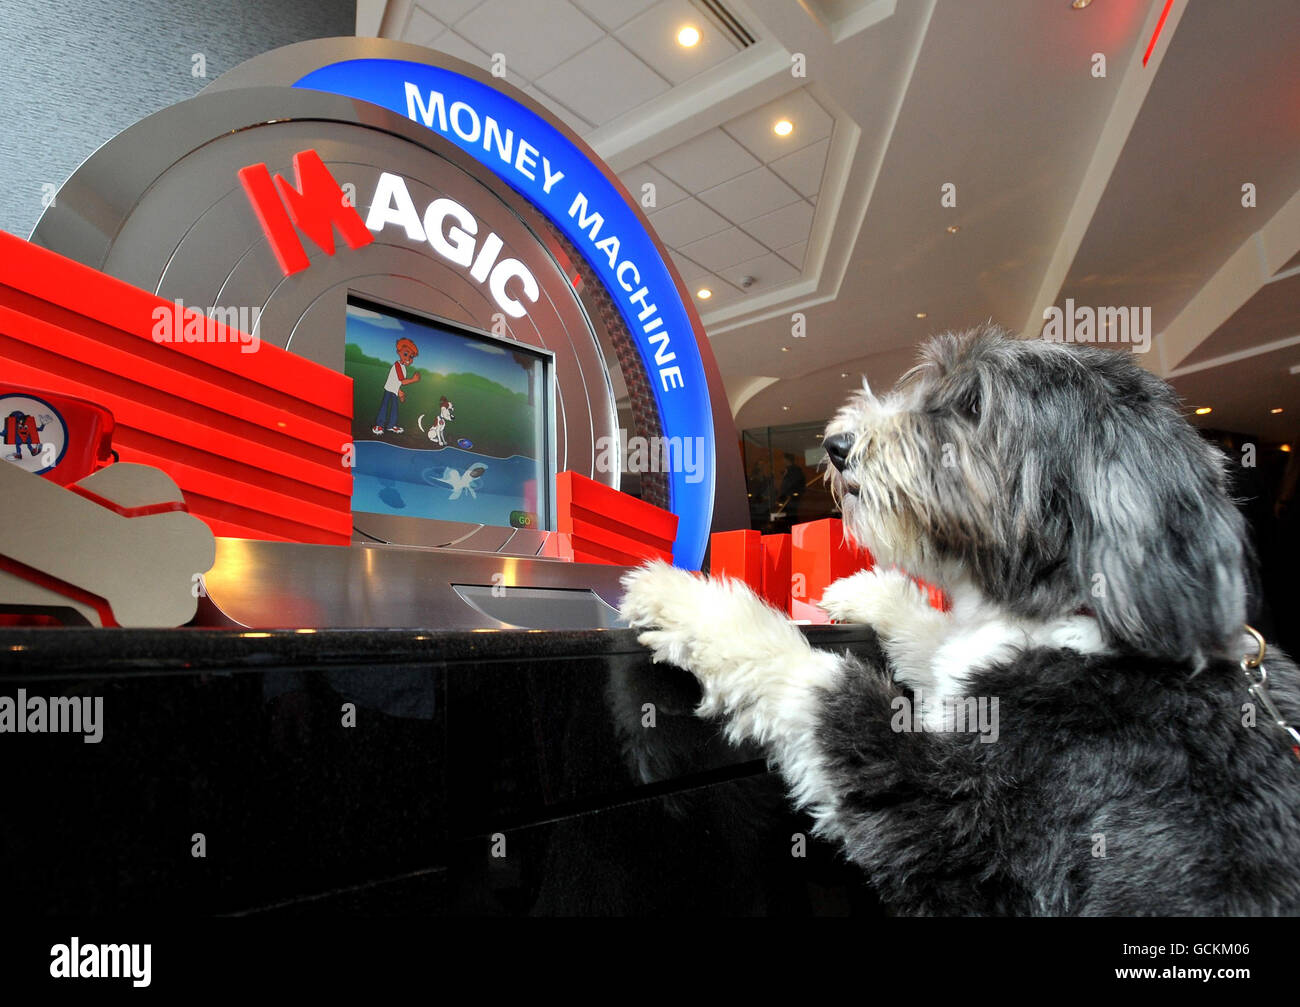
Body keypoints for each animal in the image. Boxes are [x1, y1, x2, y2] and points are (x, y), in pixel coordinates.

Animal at [618, 327, 1300, 919]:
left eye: (972, 407)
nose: (837, 444)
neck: (1076, 615)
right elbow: (939, 642)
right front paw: (867, 592)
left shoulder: (953, 825)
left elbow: (822, 685)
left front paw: (692, 603)